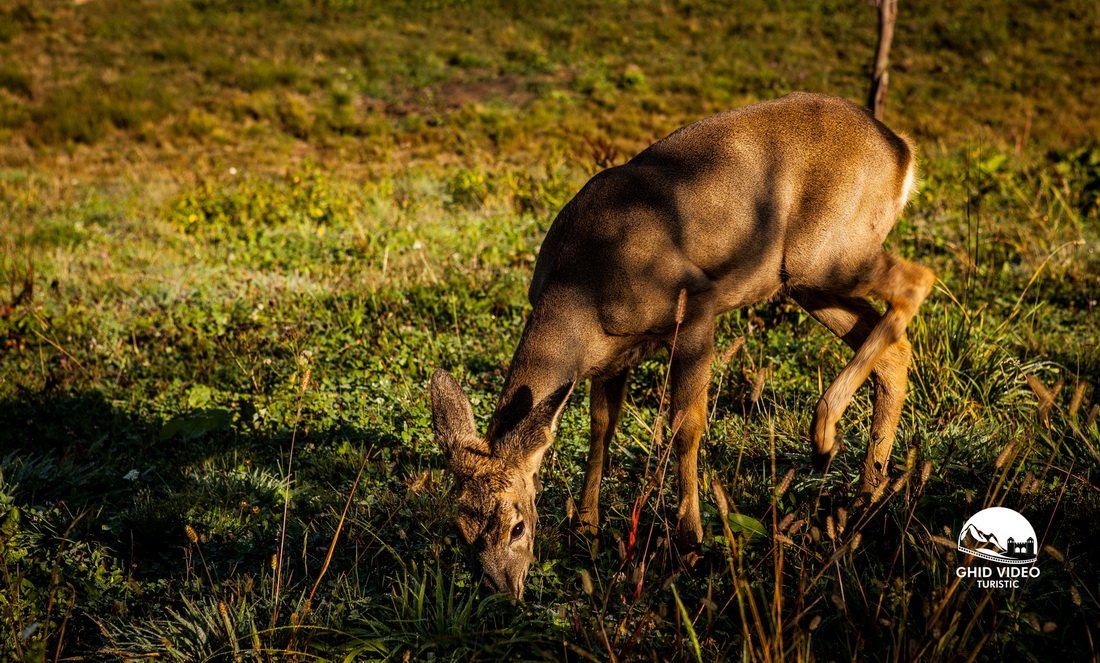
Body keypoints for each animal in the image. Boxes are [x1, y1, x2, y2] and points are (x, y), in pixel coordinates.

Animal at [429, 90, 937, 598]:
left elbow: (684, 425)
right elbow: (601, 425)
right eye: (461, 530)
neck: (582, 288)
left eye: (517, 525)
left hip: (825, 253)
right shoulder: (613, 355)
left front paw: (690, 539)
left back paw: (825, 430)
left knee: (919, 279)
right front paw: (587, 527)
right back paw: (866, 494)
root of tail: (901, 149)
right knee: (896, 350)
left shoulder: (695, 305)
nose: (501, 588)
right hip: (804, 279)